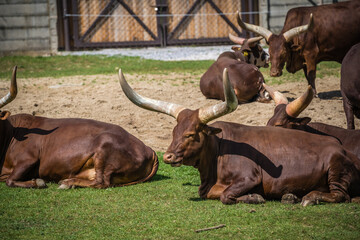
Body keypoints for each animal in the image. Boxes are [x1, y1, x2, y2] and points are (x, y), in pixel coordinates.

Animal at [0, 66, 158, 189]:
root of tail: (149, 150)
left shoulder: (28, 159)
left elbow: (10, 181)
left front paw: (37, 182)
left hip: (104, 149)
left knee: (101, 182)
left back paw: (67, 183)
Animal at [119, 68, 360, 206]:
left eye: (190, 134)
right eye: (174, 132)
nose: (168, 156)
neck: (217, 153)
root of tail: (342, 148)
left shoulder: (249, 177)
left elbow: (226, 195)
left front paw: (254, 197)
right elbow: (212, 193)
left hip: (336, 169)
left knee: (341, 195)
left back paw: (310, 198)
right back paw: (291, 196)